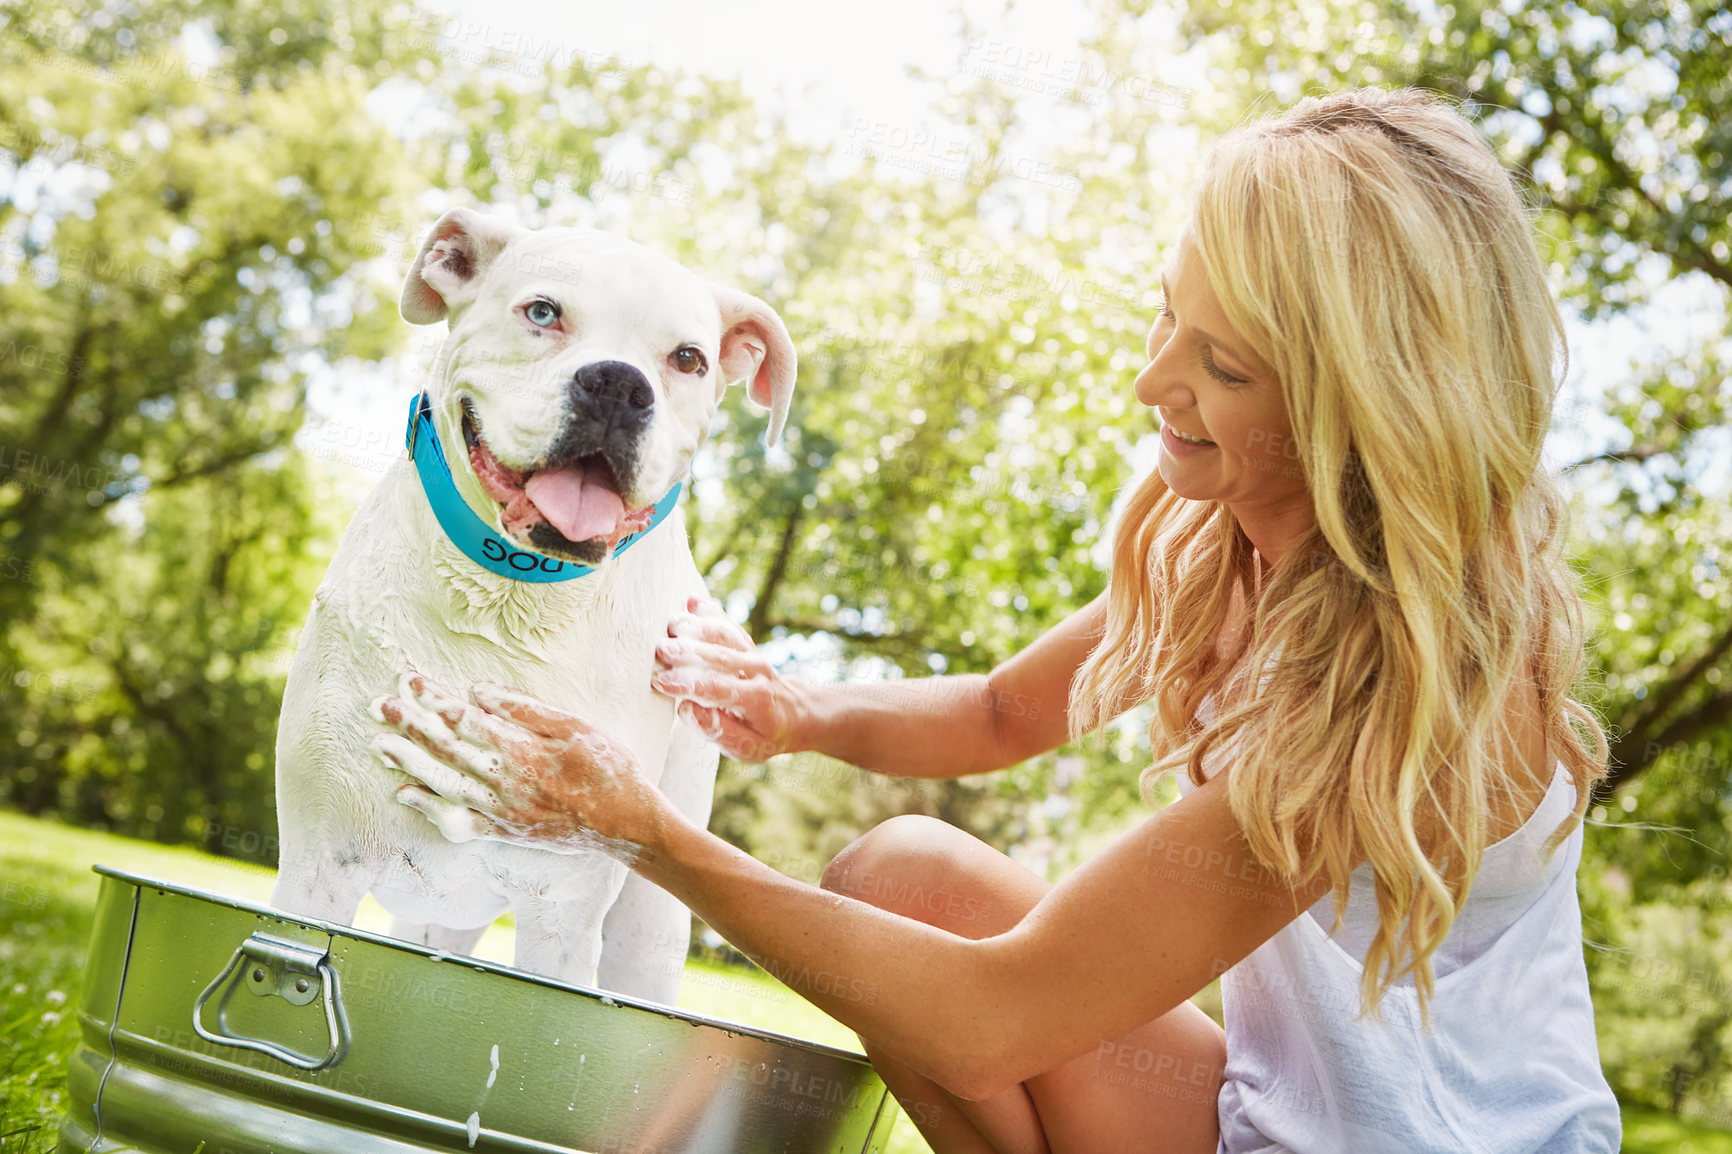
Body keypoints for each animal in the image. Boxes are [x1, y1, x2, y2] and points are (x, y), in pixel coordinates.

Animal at [266, 207, 793, 998]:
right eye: (542, 313)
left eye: (689, 360)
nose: (618, 385)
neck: (513, 593)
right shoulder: (316, 865)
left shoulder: (565, 918)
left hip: (650, 922)